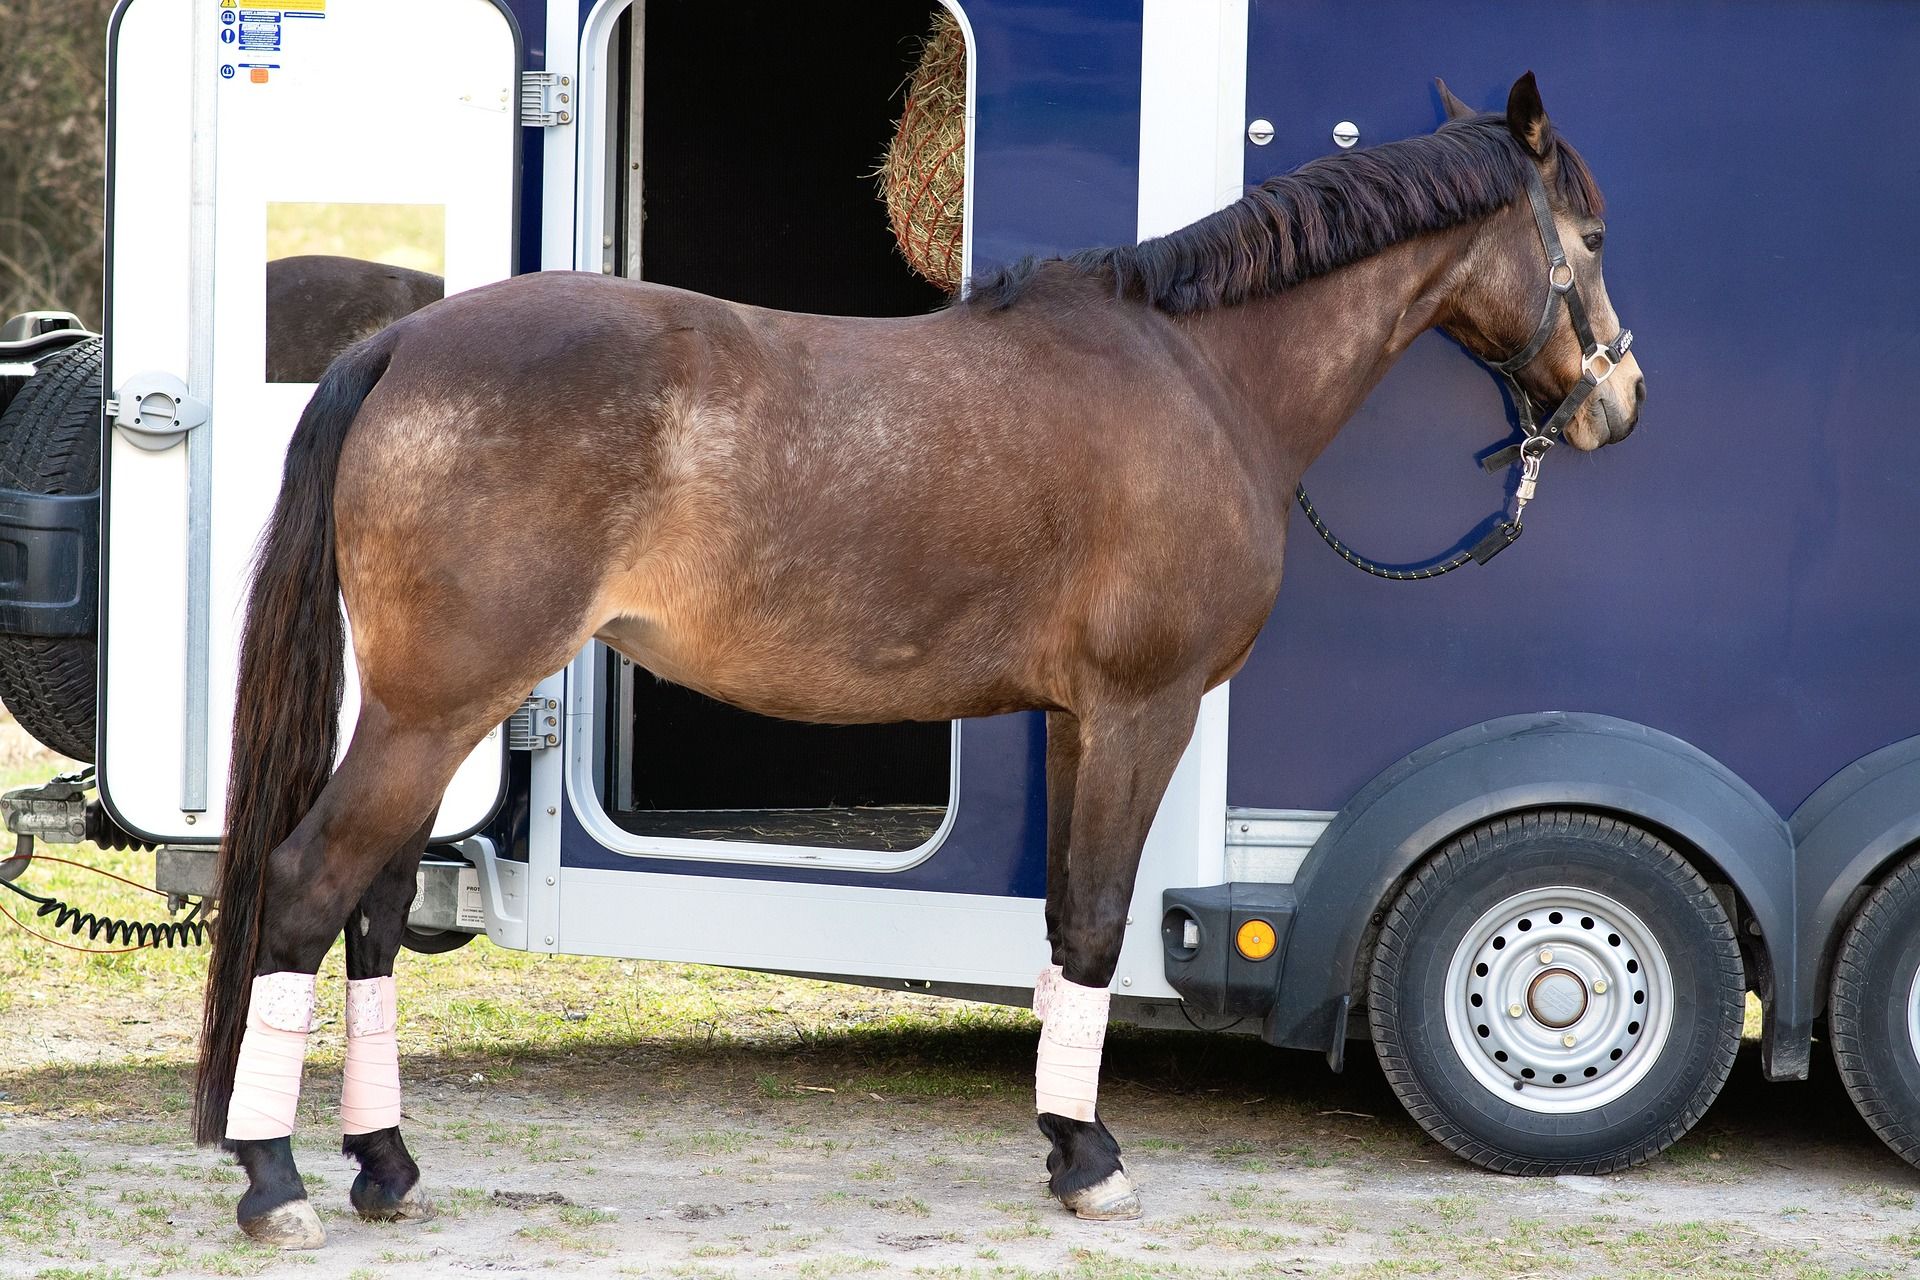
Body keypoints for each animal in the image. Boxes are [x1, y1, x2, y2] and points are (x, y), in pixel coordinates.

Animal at [194, 75, 1643, 1243]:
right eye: (1589, 238)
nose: (1619, 404)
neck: (1194, 375)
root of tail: (401, 344)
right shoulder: (1146, 709)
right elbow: (1104, 919)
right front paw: (1094, 1161)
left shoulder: (1075, 718)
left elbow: (1065, 920)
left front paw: (1063, 1139)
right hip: (432, 708)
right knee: (308, 886)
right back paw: (276, 1181)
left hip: (439, 713)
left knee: (377, 909)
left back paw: (385, 1164)